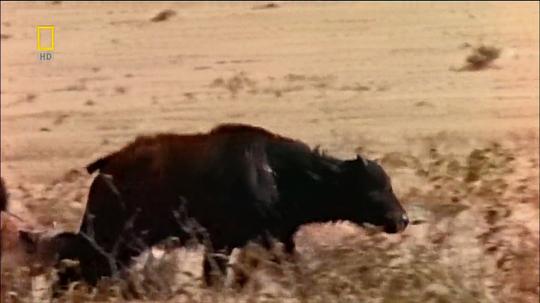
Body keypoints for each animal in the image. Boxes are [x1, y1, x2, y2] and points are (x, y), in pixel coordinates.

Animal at [56, 124, 410, 286]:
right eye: (374, 188)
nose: (402, 219)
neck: (278, 173)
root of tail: (106, 167)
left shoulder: (273, 241)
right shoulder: (221, 244)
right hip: (112, 242)